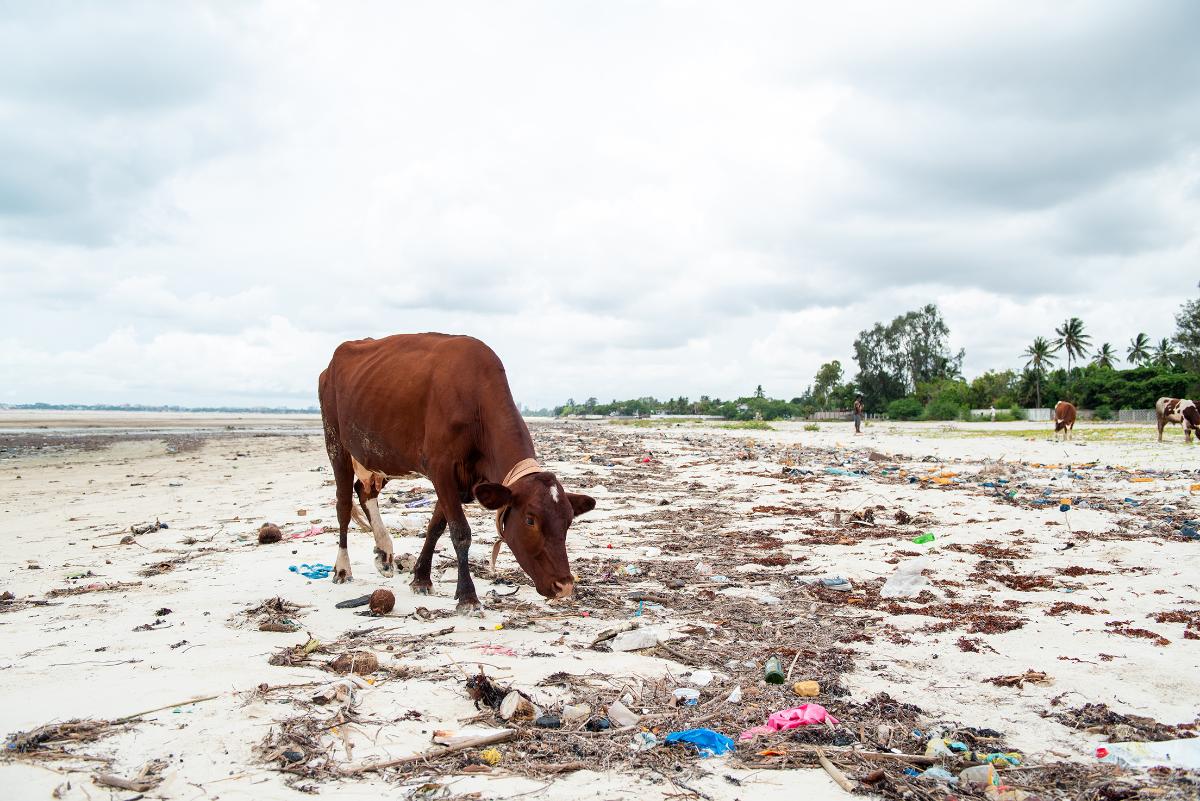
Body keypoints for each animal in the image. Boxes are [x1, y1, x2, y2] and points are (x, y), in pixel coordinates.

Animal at [319, 330, 595, 613]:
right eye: (530, 520)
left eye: (569, 520)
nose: (564, 586)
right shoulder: (441, 468)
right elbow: (460, 532)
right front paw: (467, 596)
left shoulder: (465, 480)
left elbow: (436, 527)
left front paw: (421, 578)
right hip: (335, 441)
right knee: (343, 503)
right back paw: (342, 568)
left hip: (381, 455)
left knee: (365, 491)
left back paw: (384, 553)